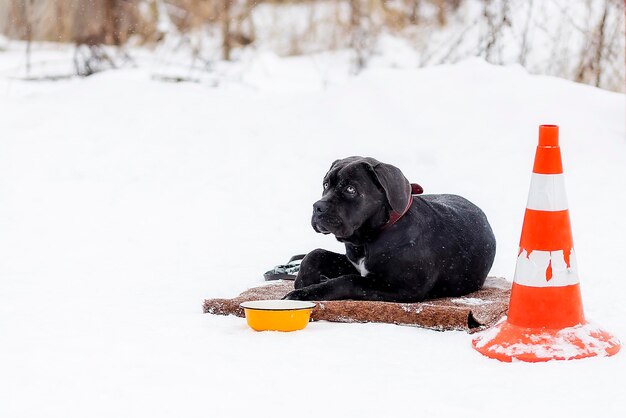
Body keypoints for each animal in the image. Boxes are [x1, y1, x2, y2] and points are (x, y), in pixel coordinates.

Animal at [282, 155, 492, 302]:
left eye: (350, 189)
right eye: (326, 184)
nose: (317, 207)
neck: (369, 240)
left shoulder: (402, 287)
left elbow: (349, 280)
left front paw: (303, 294)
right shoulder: (354, 263)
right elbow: (316, 254)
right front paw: (303, 281)